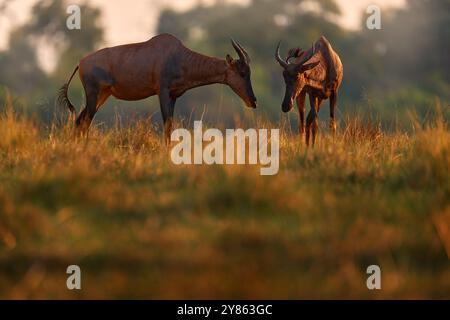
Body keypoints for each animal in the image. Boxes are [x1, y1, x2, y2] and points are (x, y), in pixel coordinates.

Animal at [59, 32, 256, 142]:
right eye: (242, 72)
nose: (253, 101)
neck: (177, 55)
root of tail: (81, 63)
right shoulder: (162, 92)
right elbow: (167, 124)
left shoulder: (174, 96)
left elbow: (171, 125)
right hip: (94, 95)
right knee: (84, 121)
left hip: (103, 95)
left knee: (80, 121)